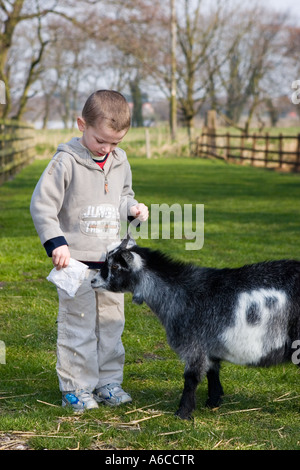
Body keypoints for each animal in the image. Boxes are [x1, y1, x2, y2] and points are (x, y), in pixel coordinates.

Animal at [91, 239, 300, 418]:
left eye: (115, 267)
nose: (93, 281)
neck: (182, 292)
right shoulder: (209, 344)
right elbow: (212, 372)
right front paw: (213, 402)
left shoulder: (193, 343)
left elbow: (191, 379)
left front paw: (183, 413)